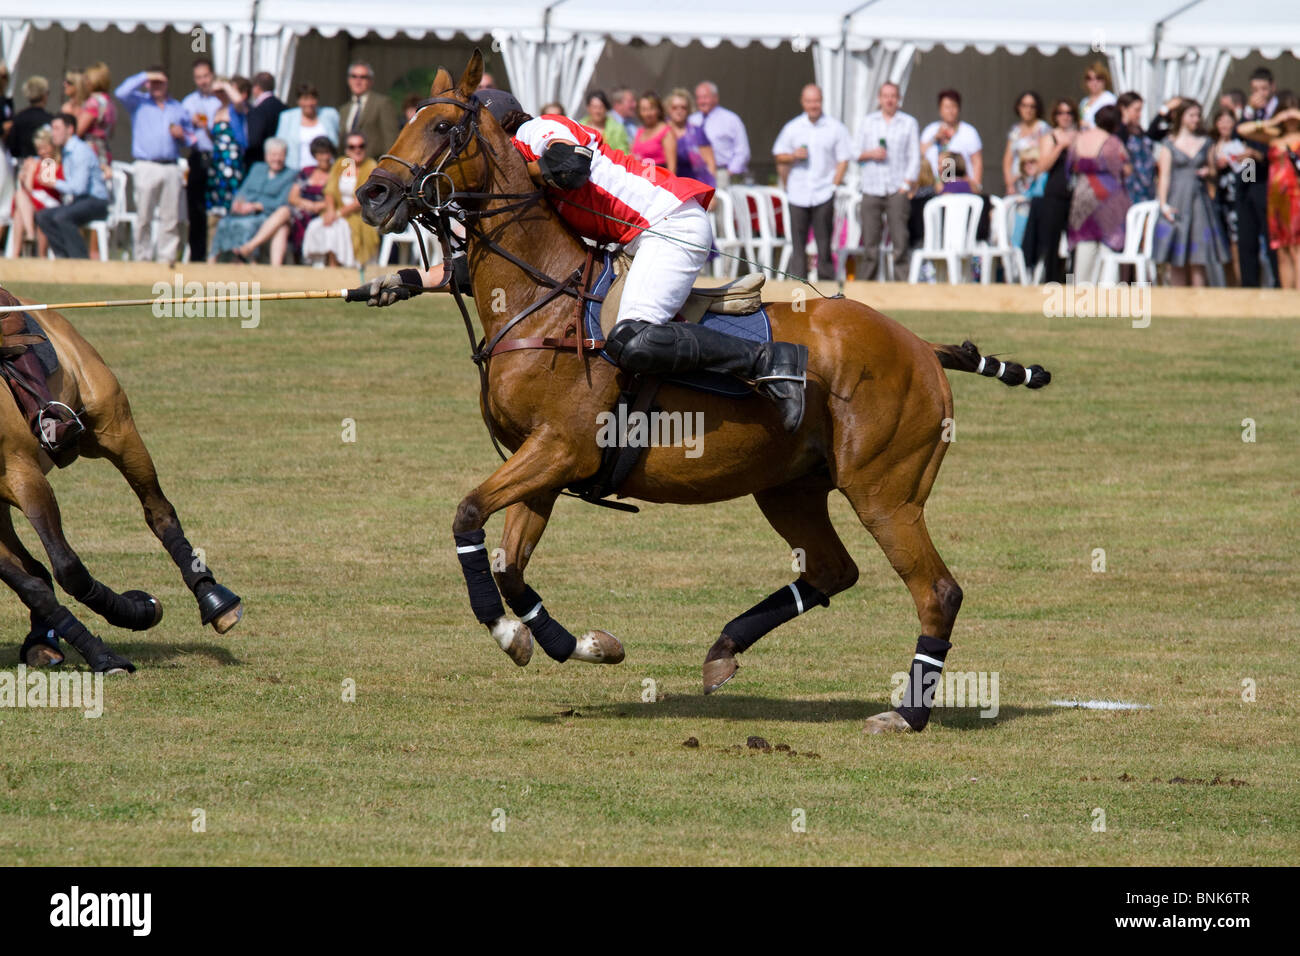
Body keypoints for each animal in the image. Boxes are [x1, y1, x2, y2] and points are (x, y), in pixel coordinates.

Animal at [0, 290, 241, 671]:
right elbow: (31, 584)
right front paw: (103, 643)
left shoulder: (22, 472)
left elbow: (68, 568)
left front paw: (134, 613)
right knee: (35, 570)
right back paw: (42, 641)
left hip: (114, 428)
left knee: (159, 511)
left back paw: (215, 600)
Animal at [361, 52, 1050, 733]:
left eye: (444, 128)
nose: (373, 194)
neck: (540, 299)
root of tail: (922, 348)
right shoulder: (544, 465)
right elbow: (512, 566)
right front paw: (581, 643)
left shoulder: (560, 450)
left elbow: (468, 515)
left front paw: (513, 635)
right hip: (790, 488)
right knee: (834, 569)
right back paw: (724, 650)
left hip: (886, 492)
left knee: (937, 591)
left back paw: (906, 713)